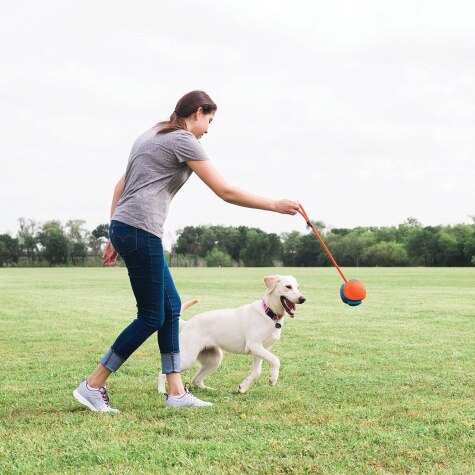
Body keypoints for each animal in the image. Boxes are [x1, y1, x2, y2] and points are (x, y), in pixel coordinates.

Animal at [158, 276, 306, 394]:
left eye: (298, 287)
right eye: (288, 286)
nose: (303, 299)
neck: (268, 314)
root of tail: (187, 324)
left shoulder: (259, 350)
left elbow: (257, 372)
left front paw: (243, 387)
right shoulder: (254, 346)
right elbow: (276, 360)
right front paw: (273, 379)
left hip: (214, 360)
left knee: (196, 379)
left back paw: (210, 390)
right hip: (187, 358)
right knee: (163, 372)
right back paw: (161, 391)